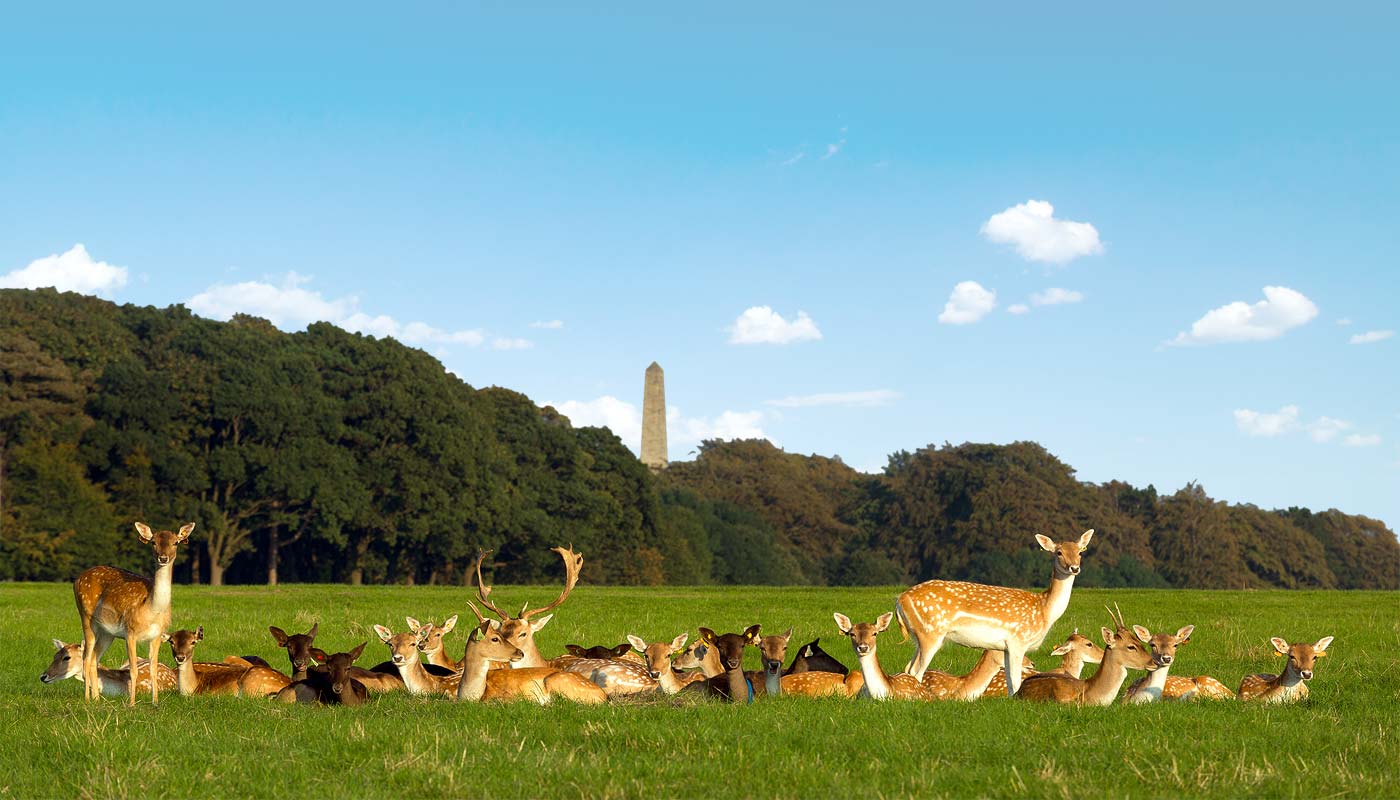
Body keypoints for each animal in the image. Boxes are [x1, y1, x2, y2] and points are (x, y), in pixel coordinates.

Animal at [73, 521, 194, 705]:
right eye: (153, 542)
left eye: (175, 543)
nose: (163, 558)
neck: (151, 610)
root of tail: (77, 579)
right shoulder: (130, 632)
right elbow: (133, 671)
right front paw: (131, 704)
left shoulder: (157, 635)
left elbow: (153, 669)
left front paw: (155, 702)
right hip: (86, 616)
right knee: (86, 658)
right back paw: (87, 699)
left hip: (107, 632)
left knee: (94, 658)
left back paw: (97, 699)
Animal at [896, 529, 1093, 696]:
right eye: (1058, 552)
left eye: (1080, 552)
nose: (1074, 568)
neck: (1044, 610)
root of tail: (900, 600)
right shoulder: (1018, 640)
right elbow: (1015, 680)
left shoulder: (1004, 647)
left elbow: (1010, 682)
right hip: (931, 633)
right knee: (916, 670)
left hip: (918, 636)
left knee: (908, 668)